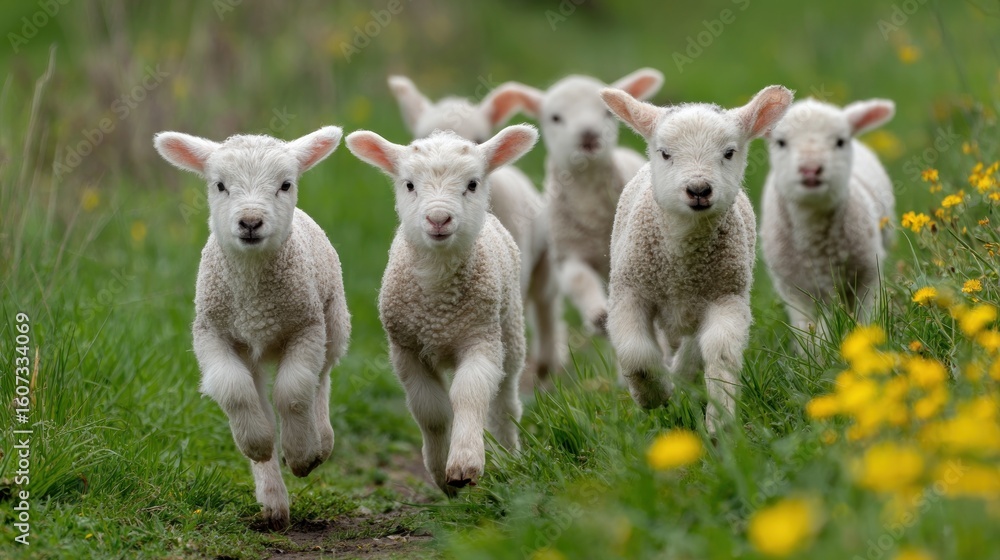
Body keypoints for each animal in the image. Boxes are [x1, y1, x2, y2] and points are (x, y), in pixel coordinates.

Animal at [153, 126, 350, 530]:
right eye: (220, 185)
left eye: (286, 184)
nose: (250, 222)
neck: (255, 300)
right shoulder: (212, 332)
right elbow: (235, 392)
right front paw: (257, 443)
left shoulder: (305, 327)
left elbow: (293, 391)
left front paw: (302, 454)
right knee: (260, 394)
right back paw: (273, 503)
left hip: (333, 319)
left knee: (321, 378)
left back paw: (320, 441)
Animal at [345, 125, 538, 493]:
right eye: (409, 184)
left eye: (472, 184)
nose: (438, 218)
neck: (438, 307)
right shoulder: (406, 349)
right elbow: (431, 412)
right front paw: (439, 473)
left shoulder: (481, 339)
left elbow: (469, 395)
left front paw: (464, 463)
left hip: (510, 331)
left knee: (504, 403)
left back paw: (509, 457)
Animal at [490, 69, 664, 335]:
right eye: (555, 118)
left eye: (606, 113)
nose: (589, 134)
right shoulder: (568, 254)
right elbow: (579, 280)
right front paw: (598, 316)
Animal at [600, 85, 794, 433]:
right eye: (665, 153)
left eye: (729, 152)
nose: (699, 189)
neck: (683, 264)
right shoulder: (629, 291)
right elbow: (637, 355)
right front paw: (653, 396)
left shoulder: (727, 296)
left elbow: (721, 352)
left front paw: (720, 421)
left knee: (693, 351)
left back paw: (682, 378)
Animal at [760, 98, 896, 340]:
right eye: (781, 142)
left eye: (840, 142)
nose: (811, 169)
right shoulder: (792, 288)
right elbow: (807, 331)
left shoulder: (868, 274)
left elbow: (865, 316)